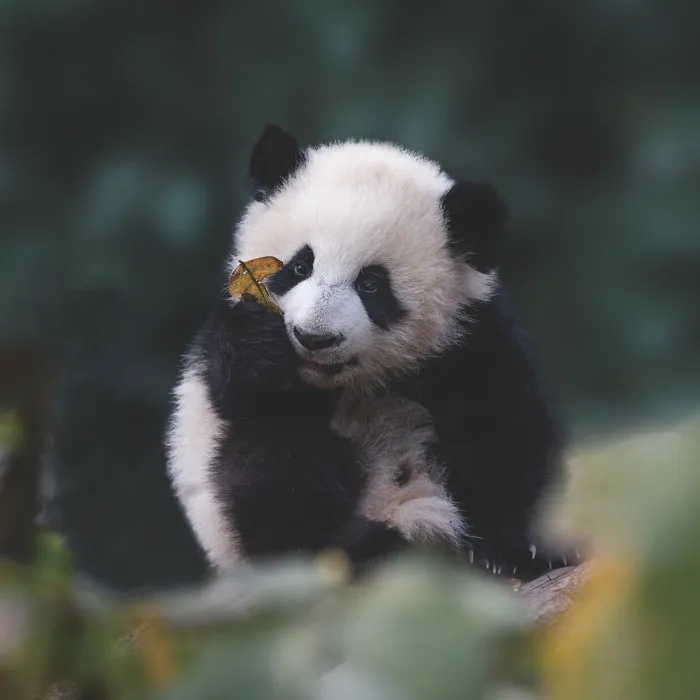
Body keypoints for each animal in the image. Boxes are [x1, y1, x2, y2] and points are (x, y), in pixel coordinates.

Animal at [165, 124, 576, 582]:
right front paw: (261, 344)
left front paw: (527, 548)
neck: (351, 381)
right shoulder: (221, 347)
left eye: (372, 284)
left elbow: (505, 431)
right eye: (300, 266)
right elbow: (242, 391)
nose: (314, 338)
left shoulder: (469, 336)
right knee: (270, 473)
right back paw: (374, 552)